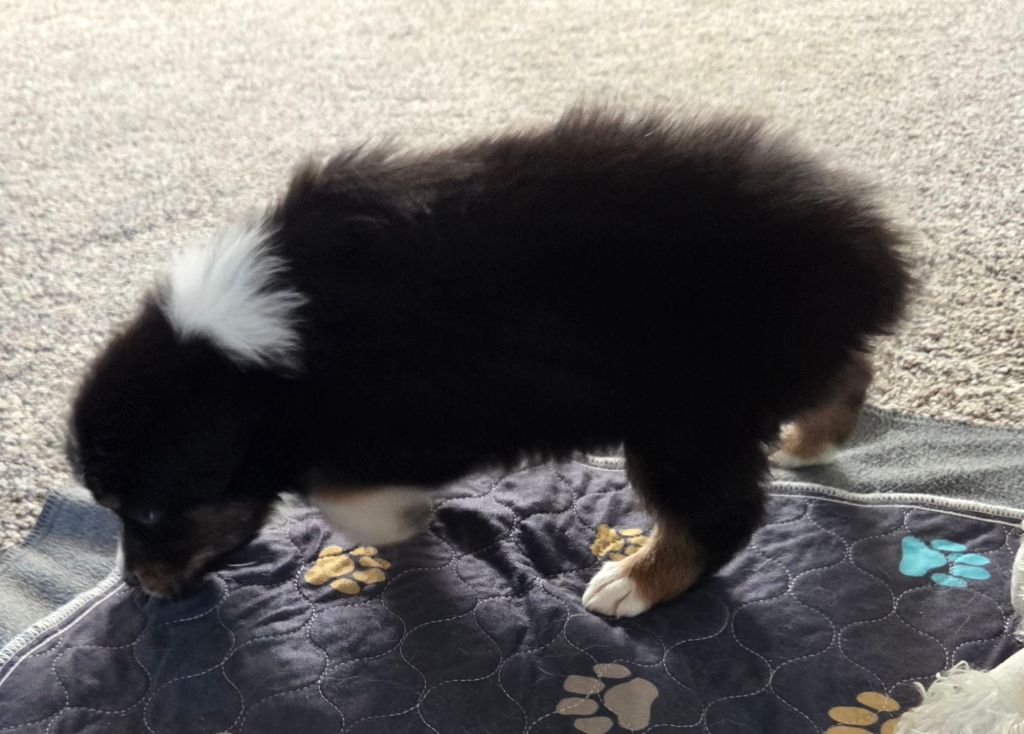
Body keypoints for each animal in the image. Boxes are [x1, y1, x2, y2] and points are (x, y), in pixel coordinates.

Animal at [66, 108, 911, 614]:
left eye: (146, 512)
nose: (137, 587)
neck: (264, 351)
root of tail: (869, 250)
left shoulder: (416, 410)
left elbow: (337, 491)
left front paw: (396, 517)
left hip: (686, 415)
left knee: (720, 517)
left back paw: (632, 585)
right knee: (844, 373)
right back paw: (813, 440)